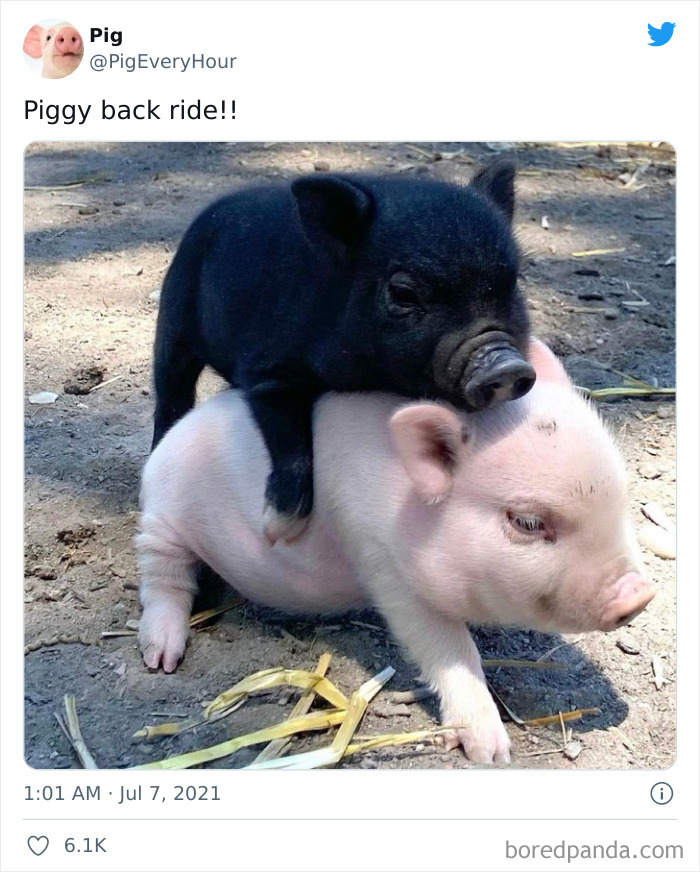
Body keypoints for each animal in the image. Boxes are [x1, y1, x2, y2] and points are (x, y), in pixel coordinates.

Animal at [137, 340, 653, 764]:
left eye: (620, 495)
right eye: (527, 522)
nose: (639, 595)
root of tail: (172, 436)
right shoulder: (382, 563)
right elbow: (446, 647)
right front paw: (493, 753)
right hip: (161, 518)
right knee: (163, 579)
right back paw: (162, 659)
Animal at [151, 160, 536, 545]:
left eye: (515, 282)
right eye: (403, 293)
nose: (506, 365)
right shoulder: (268, 370)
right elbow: (289, 437)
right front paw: (279, 531)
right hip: (173, 320)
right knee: (171, 391)